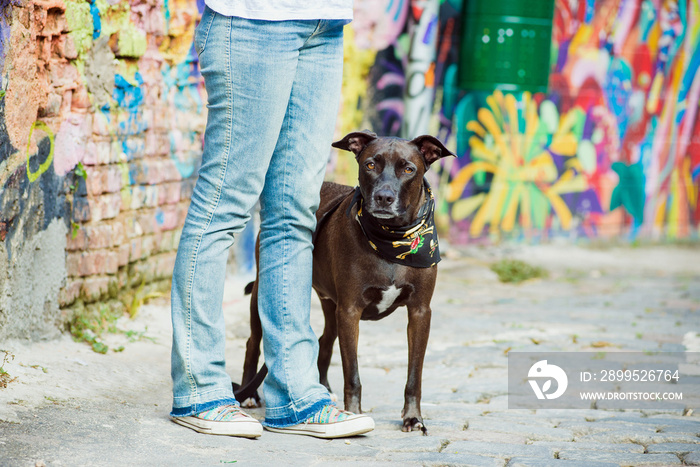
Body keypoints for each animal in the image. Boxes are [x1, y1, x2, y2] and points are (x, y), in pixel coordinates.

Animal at [241, 131, 454, 436]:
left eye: (408, 169)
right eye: (370, 165)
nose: (384, 197)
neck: (392, 240)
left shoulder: (420, 312)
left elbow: (415, 375)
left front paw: (413, 418)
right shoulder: (350, 311)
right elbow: (352, 373)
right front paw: (354, 413)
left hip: (331, 307)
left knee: (324, 340)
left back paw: (322, 390)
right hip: (265, 291)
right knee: (253, 342)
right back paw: (248, 394)